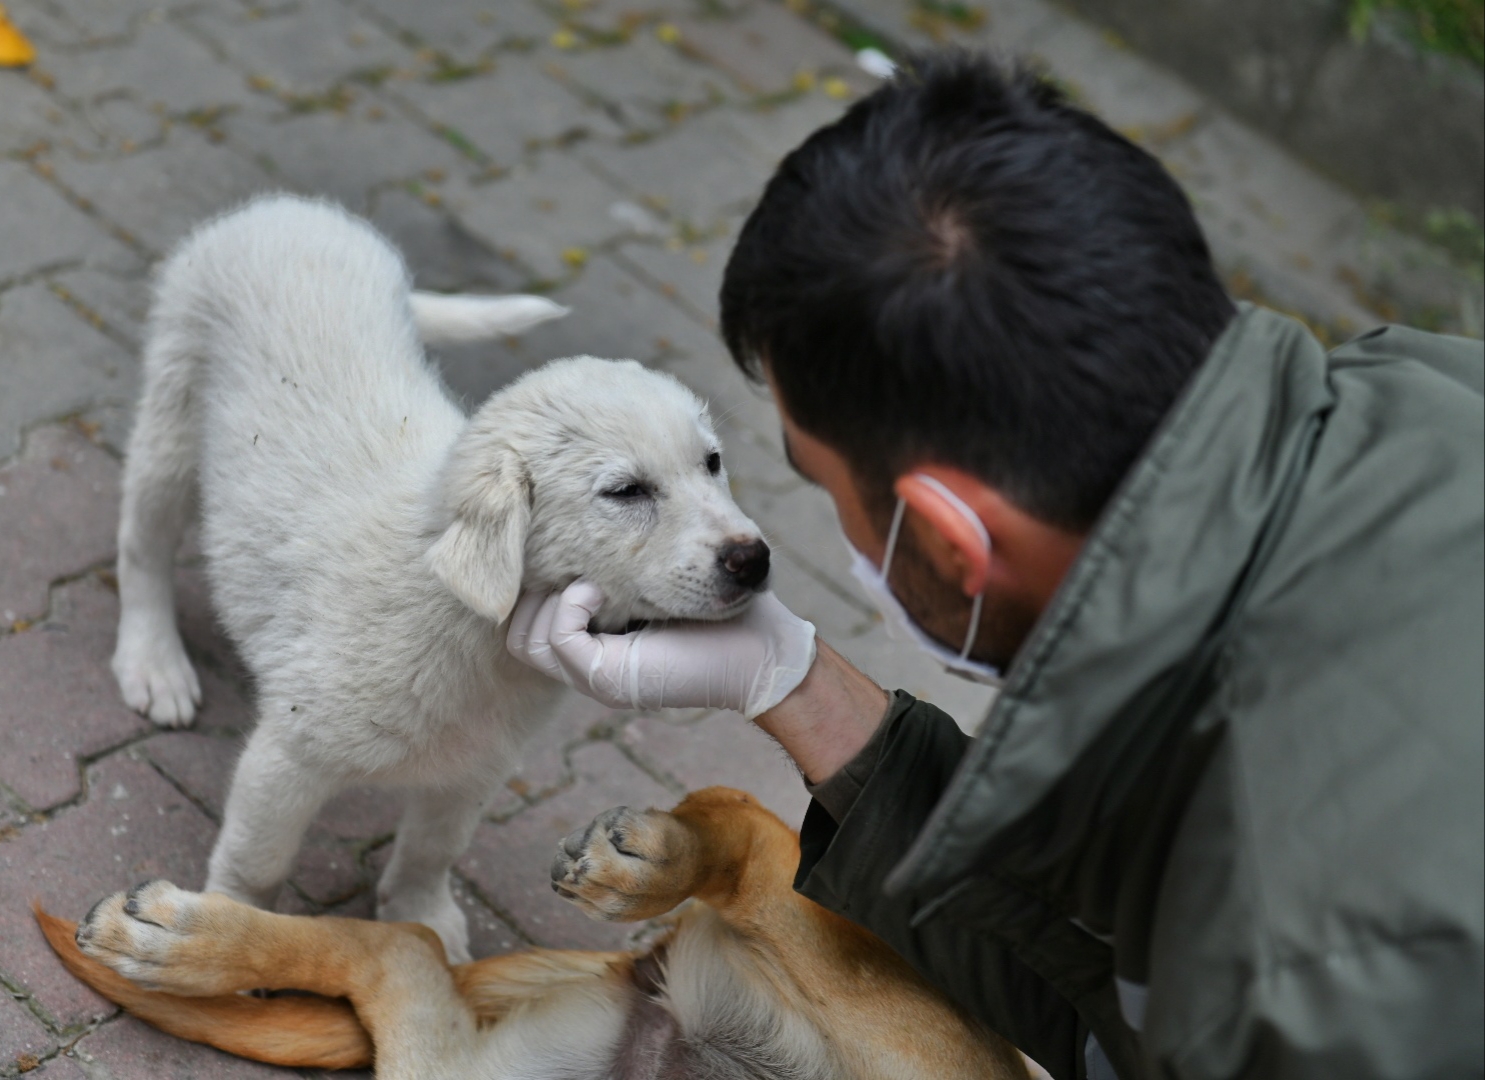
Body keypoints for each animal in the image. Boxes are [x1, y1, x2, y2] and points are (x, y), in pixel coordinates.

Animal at [37, 784, 1033, 1080]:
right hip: (904, 1036)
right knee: (750, 833)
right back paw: (655, 860)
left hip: (480, 1075)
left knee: (403, 951)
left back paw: (179, 946)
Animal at [109, 194, 772, 962]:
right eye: (626, 492)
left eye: (712, 463)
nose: (754, 560)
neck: (467, 627)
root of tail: (292, 210)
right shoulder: (290, 753)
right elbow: (258, 860)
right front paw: (217, 933)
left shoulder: (474, 769)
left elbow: (434, 850)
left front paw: (422, 916)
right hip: (170, 415)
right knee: (142, 546)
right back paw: (154, 662)